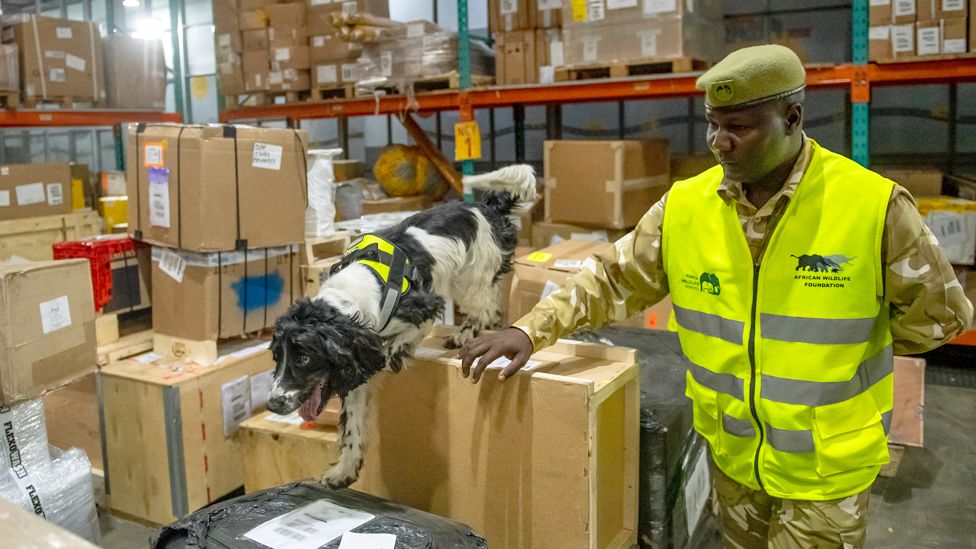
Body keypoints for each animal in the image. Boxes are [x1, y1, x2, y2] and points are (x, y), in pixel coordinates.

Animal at [266, 165, 536, 486]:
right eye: (277, 357)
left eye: (304, 358)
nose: (272, 404)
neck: (351, 295)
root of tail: (487, 206)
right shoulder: (355, 364)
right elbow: (352, 422)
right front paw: (344, 470)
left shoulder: (425, 306)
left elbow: (394, 346)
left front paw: (395, 353)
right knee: (490, 301)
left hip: (470, 277)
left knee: (482, 306)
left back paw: (463, 334)